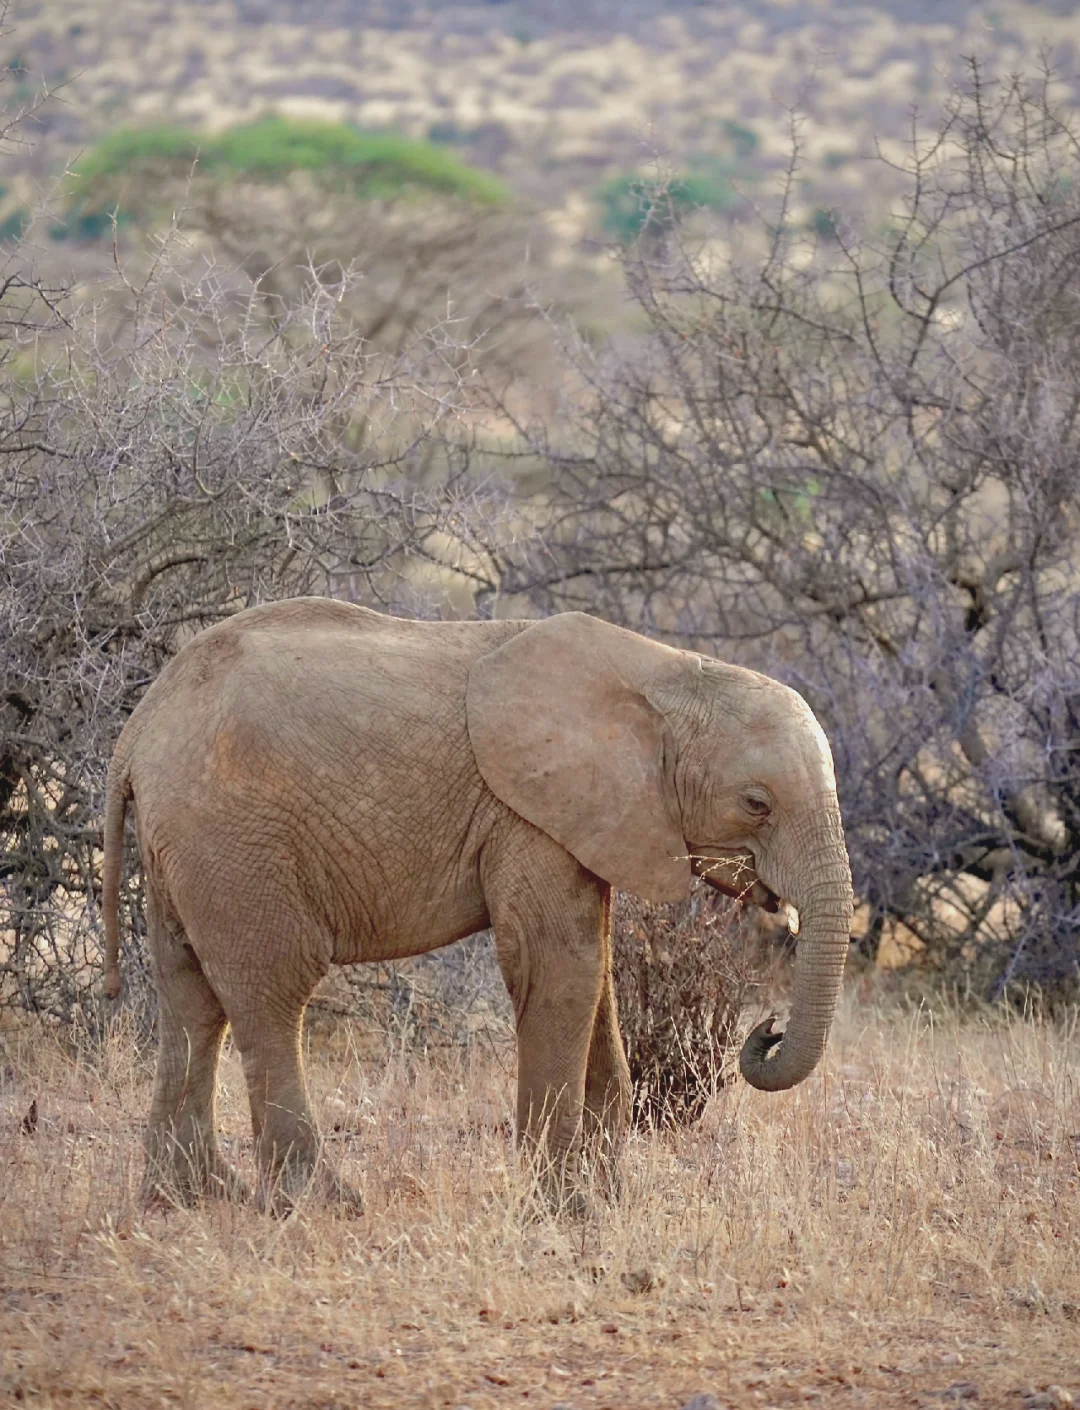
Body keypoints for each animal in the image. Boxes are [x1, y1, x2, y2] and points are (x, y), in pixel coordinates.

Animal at [103, 600, 857, 1206]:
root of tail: (136, 732)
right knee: (271, 991)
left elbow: (594, 976)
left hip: (184, 848)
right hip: (232, 839)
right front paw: (565, 1208)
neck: (666, 675)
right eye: (756, 803)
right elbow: (560, 969)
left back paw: (191, 1198)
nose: (767, 1028)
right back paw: (321, 1203)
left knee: (190, 997)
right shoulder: (526, 812)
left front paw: (610, 1197)